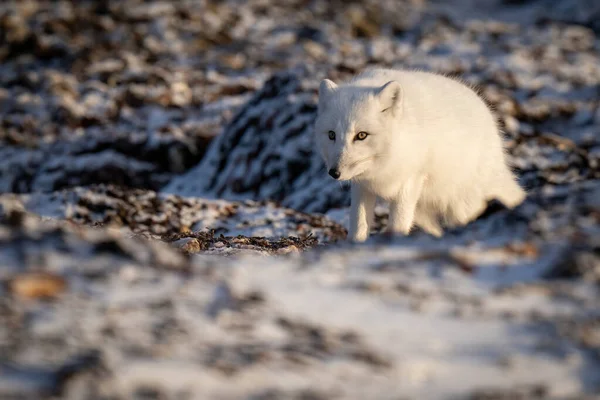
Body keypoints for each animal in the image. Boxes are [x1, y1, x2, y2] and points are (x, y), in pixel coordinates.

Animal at [314, 68, 524, 241]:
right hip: (423, 211)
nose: (334, 173)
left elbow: (398, 225)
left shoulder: (410, 180)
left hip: (461, 206)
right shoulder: (362, 185)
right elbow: (358, 224)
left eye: (361, 135)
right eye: (331, 135)